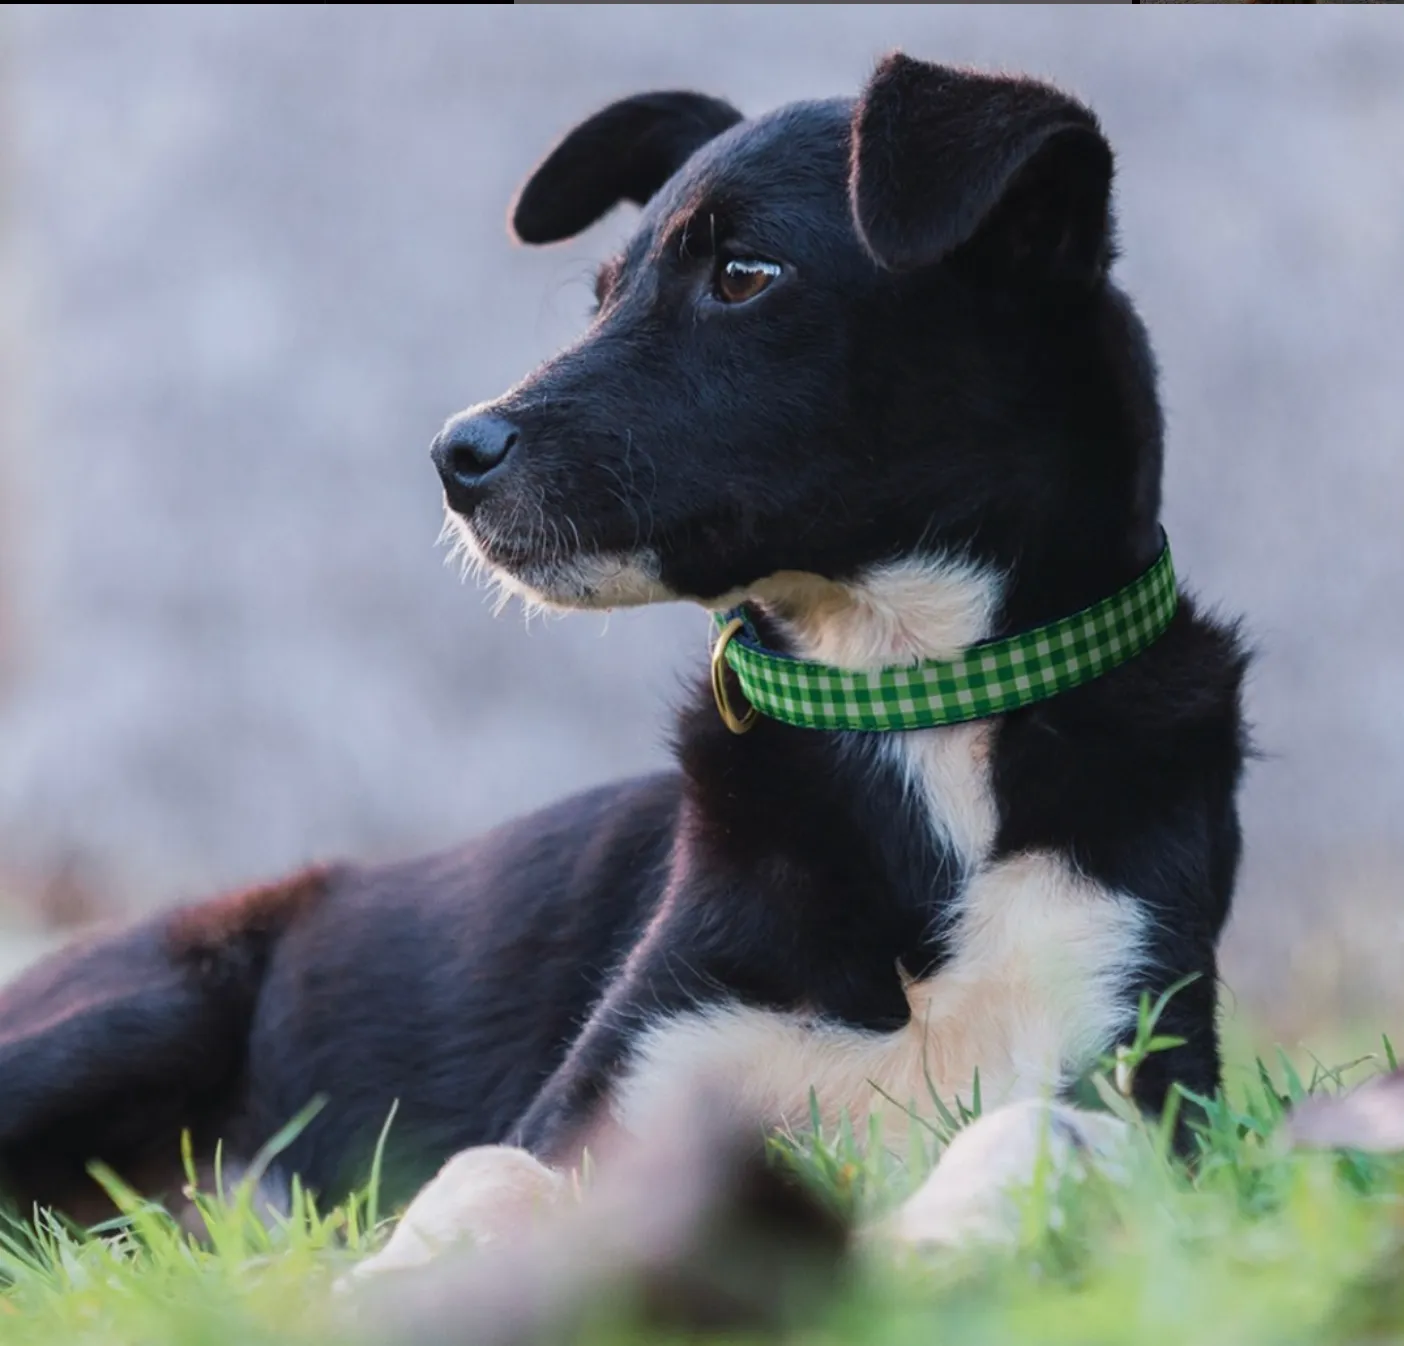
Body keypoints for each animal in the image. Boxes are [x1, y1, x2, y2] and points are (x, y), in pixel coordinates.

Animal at [0, 52, 1252, 1268]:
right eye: (605, 293)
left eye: (743, 274)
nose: (453, 454)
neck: (909, 692)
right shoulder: (611, 1095)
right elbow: (489, 1170)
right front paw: (393, 1279)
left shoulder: (1152, 1079)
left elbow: (1042, 1123)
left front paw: (937, 1233)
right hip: (143, 1008)